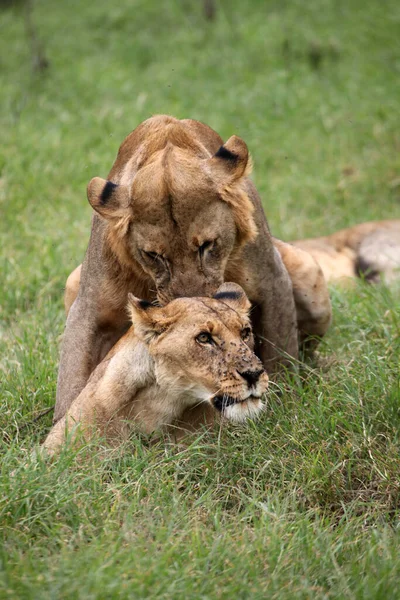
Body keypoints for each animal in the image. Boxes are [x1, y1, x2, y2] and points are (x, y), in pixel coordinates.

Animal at [54, 113, 332, 422]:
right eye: (154, 255)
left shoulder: (272, 279)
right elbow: (72, 381)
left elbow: (280, 355)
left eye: (207, 245)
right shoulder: (89, 305)